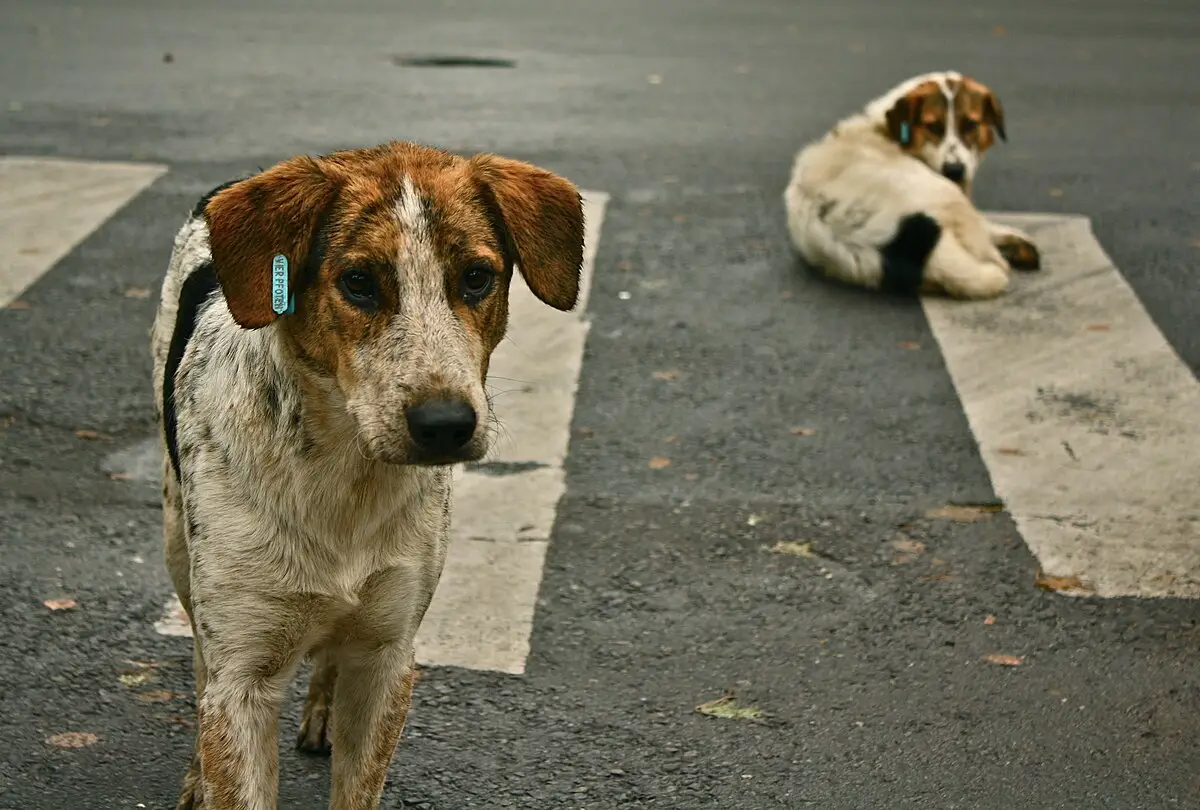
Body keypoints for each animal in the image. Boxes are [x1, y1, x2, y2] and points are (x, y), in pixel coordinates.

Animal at [147, 142, 588, 806]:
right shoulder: (243, 674)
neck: (344, 477)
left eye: (476, 277)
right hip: (178, 540)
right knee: (200, 657)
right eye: (358, 282)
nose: (445, 424)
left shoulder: (388, 658)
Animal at [787, 71, 1041, 300]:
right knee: (985, 252)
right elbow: (984, 227)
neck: (886, 130)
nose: (954, 170)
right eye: (933, 127)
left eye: (970, 125)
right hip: (944, 194)